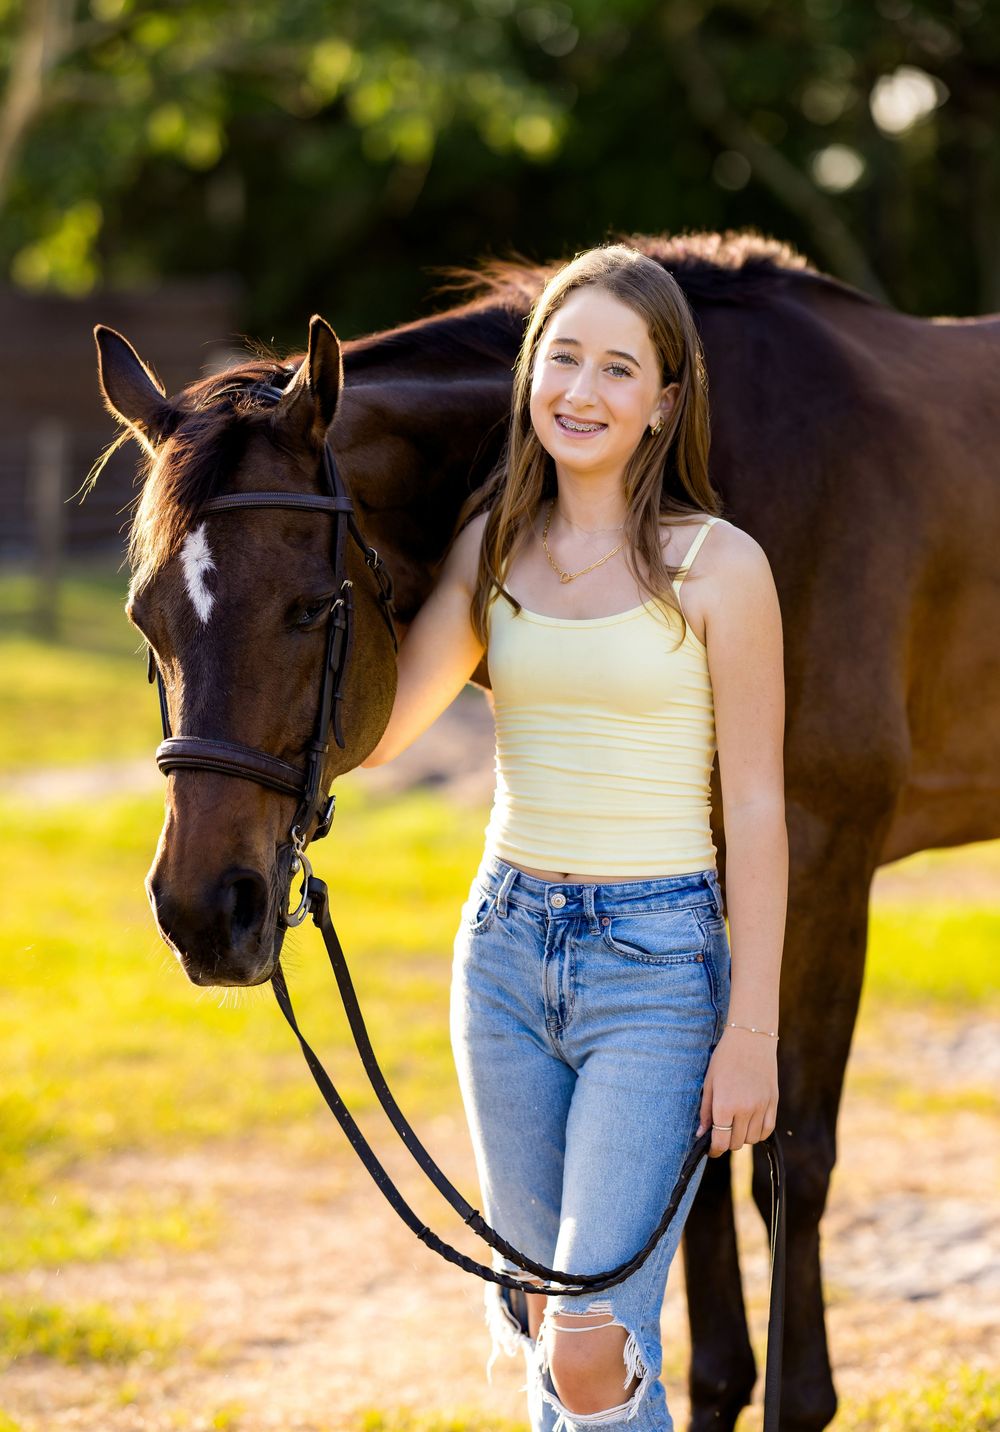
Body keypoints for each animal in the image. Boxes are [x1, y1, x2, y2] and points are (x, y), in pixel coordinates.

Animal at [93, 229, 1000, 1432]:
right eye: (146, 619)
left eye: (308, 608)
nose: (204, 911)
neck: (728, 472)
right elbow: (691, 1191)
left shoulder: (819, 866)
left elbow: (789, 1163)